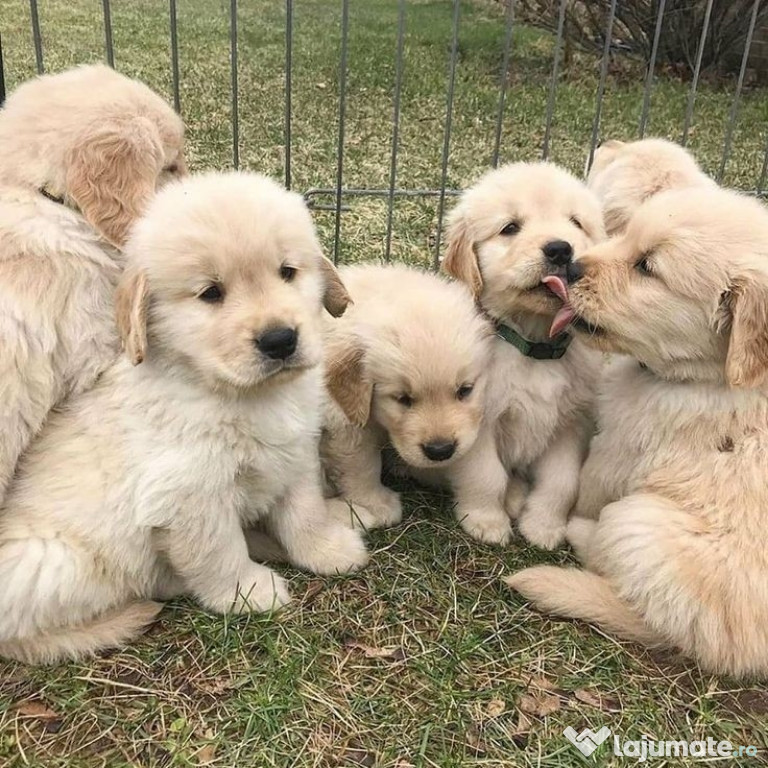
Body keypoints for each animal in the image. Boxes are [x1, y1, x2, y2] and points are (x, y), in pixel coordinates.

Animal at [0, 171, 368, 664]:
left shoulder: (295, 456)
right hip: (56, 562)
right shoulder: (189, 498)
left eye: (287, 272)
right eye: (210, 293)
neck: (238, 396)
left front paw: (327, 549)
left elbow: (303, 512)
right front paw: (248, 592)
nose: (280, 340)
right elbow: (217, 551)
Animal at [320, 260, 496, 536]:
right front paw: (376, 504)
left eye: (465, 390)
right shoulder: (344, 423)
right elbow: (362, 465)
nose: (440, 450)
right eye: (402, 398)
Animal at [510, 186, 768, 680]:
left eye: (647, 266)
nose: (571, 266)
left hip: (639, 519)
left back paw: (580, 533)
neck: (707, 378)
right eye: (626, 235)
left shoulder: (621, 446)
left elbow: (586, 483)